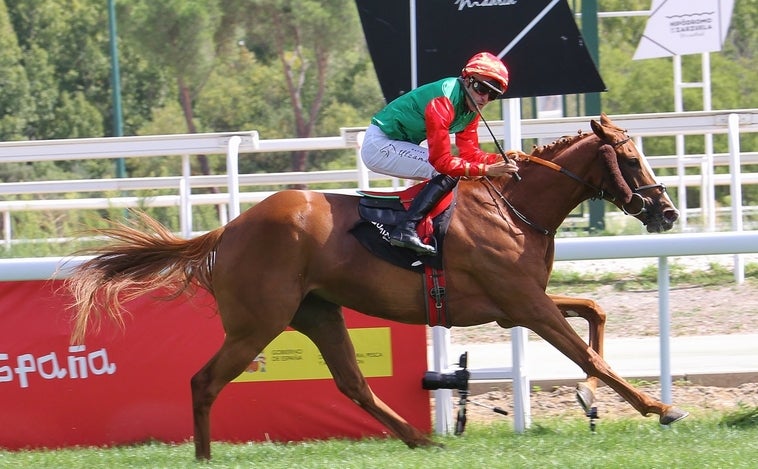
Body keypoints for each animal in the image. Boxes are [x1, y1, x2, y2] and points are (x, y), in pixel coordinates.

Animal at [67, 113, 688, 458]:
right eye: (632, 159)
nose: (668, 213)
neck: (515, 207)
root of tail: (228, 228)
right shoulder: (524, 304)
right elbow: (591, 351)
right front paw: (660, 407)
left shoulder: (520, 303)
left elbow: (594, 314)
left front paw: (588, 396)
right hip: (257, 324)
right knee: (204, 381)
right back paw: (203, 457)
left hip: (318, 313)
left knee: (353, 384)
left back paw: (422, 439)